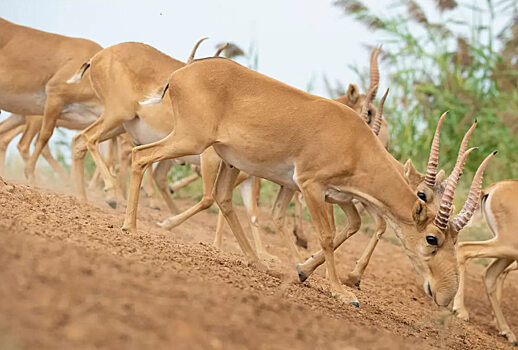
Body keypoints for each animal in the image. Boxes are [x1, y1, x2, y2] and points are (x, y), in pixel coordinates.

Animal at [128, 57, 494, 306]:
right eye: (433, 238)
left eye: (454, 242)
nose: (446, 295)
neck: (355, 141)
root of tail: (178, 75)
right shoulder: (311, 186)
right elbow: (329, 236)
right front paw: (342, 292)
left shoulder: (338, 196)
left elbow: (351, 226)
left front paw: (303, 271)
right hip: (191, 140)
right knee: (140, 156)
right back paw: (131, 227)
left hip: (228, 159)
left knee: (222, 199)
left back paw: (257, 261)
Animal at [452, 180, 518, 344]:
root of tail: (494, 188)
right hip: (508, 246)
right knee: (464, 249)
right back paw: (461, 311)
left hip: (508, 252)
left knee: (490, 275)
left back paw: (507, 331)